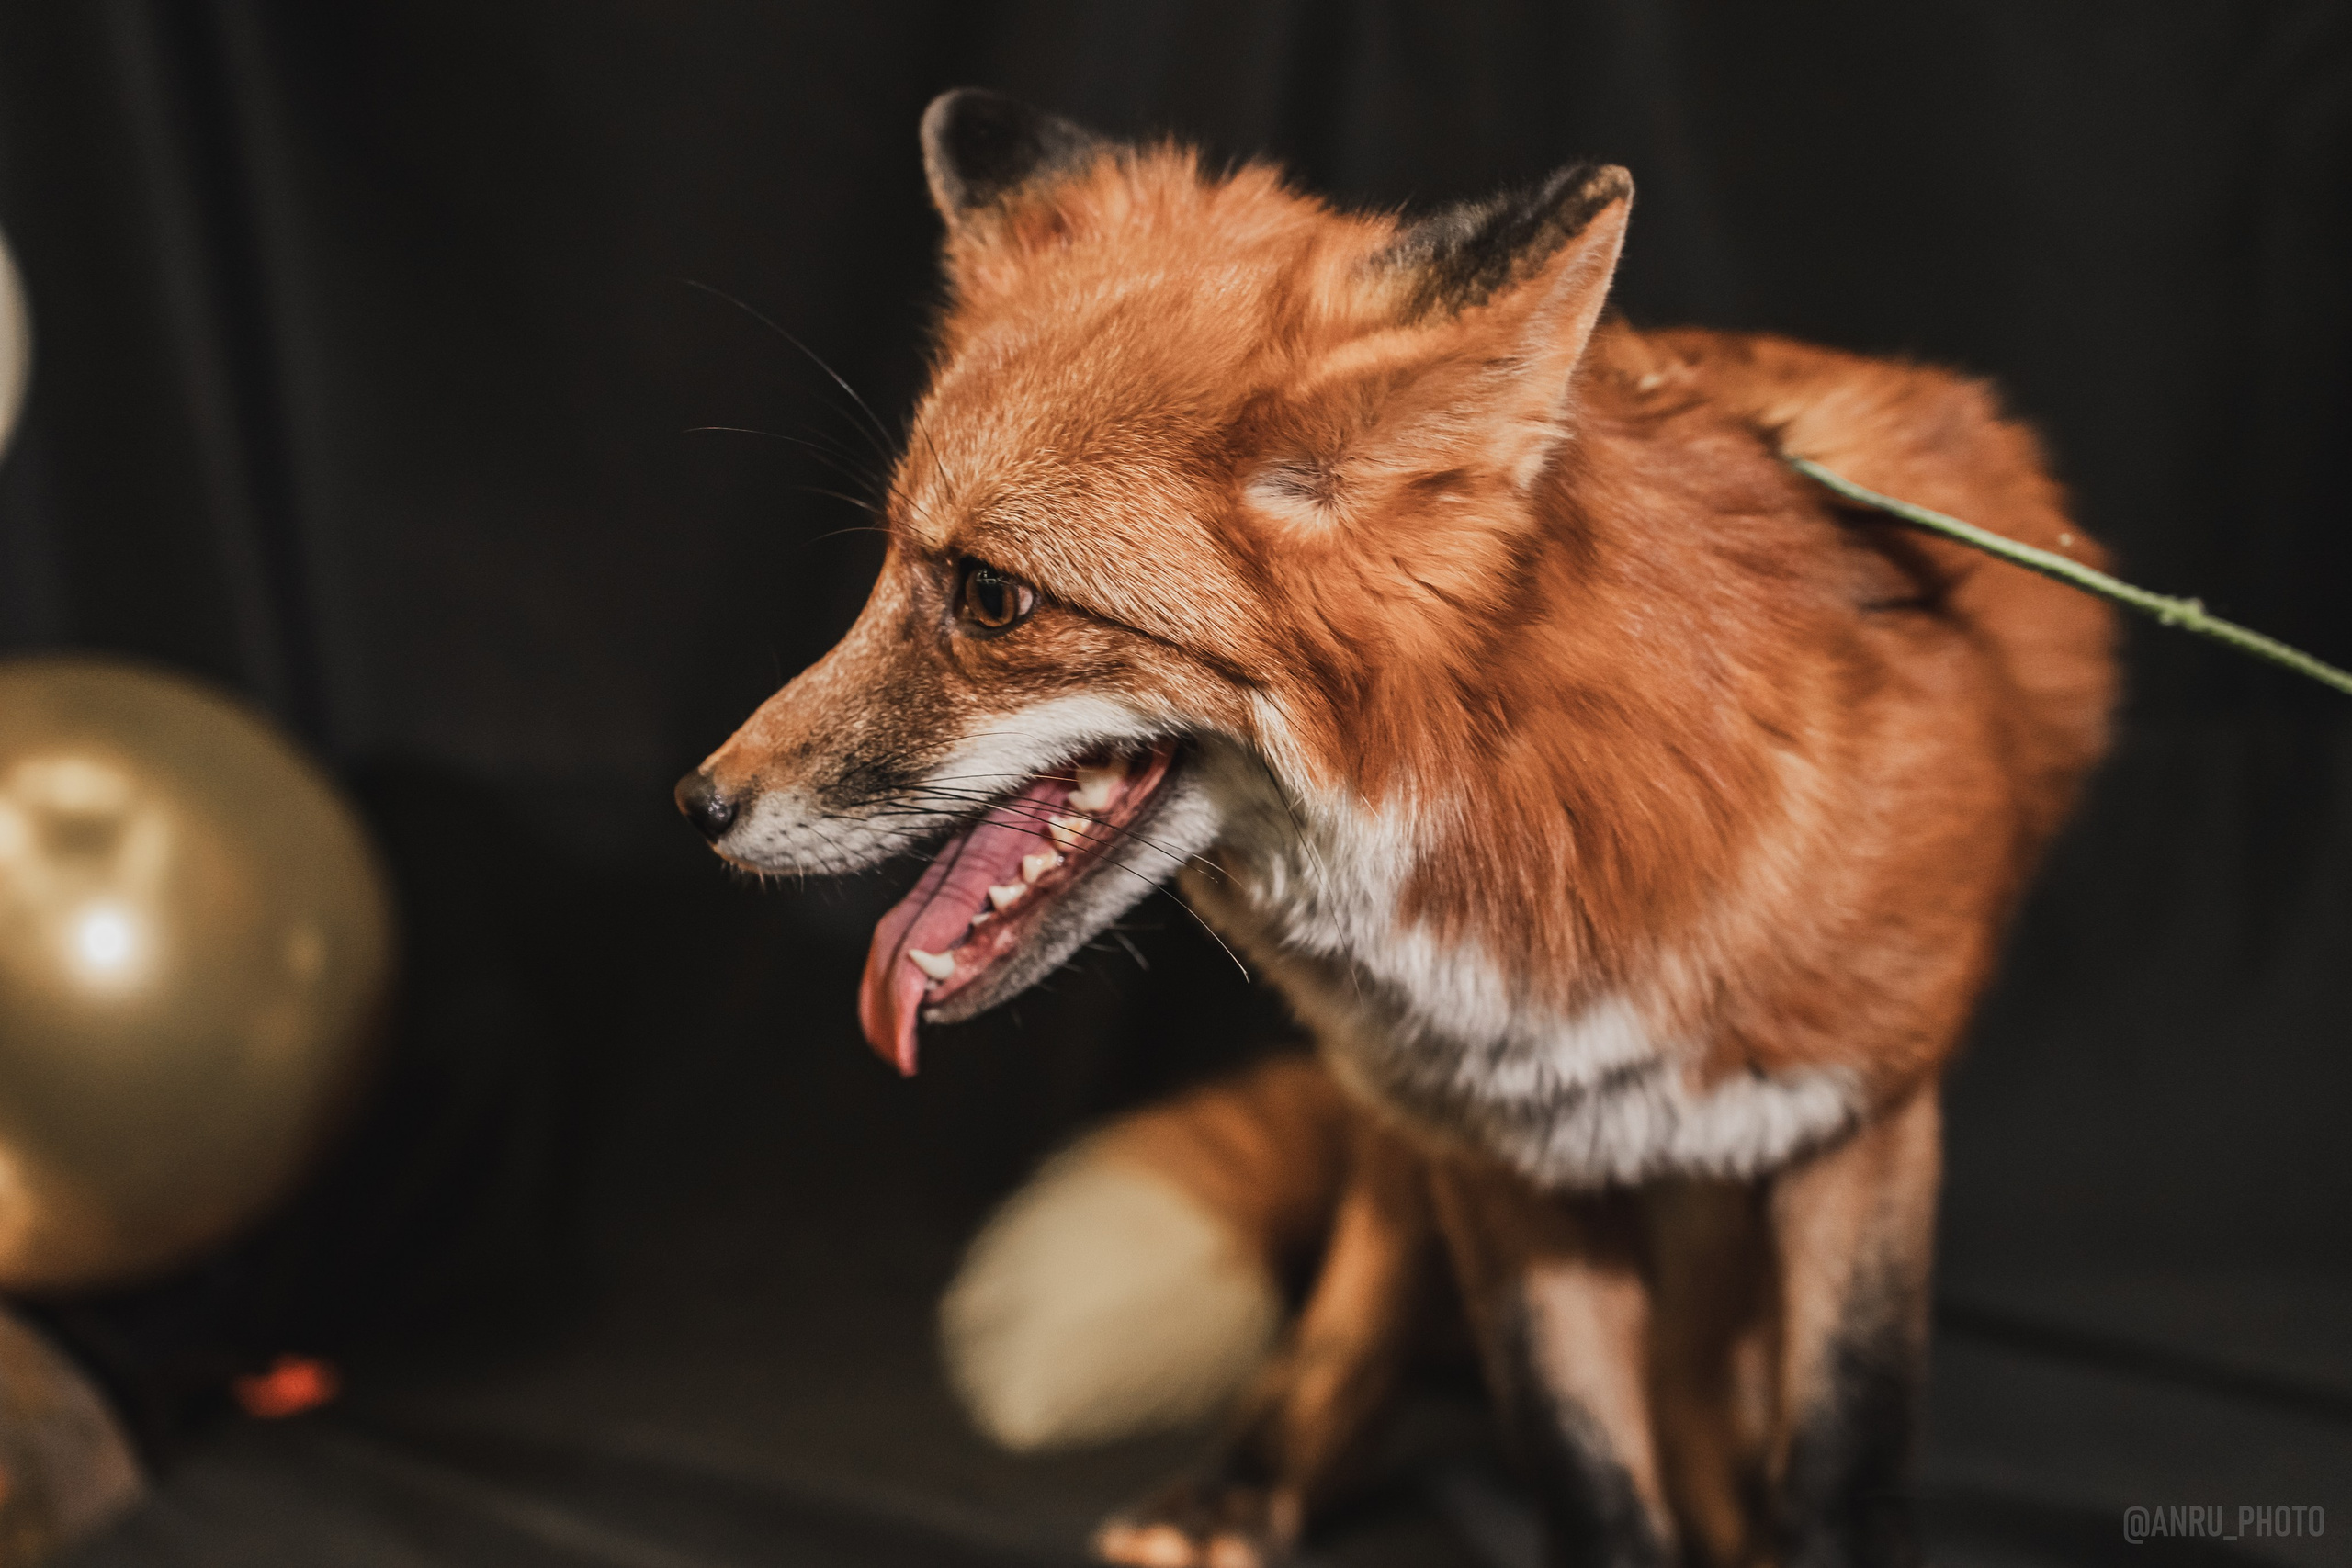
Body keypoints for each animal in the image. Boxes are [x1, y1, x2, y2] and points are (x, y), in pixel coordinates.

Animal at [678, 89, 2115, 1568]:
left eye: (989, 596)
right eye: (887, 567)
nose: (700, 804)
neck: (1550, 816)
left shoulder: (1865, 1120)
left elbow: (1842, 1446)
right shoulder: (1496, 1147)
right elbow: (1581, 1459)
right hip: (1426, 1143)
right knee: (1370, 1289)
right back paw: (1245, 1483)